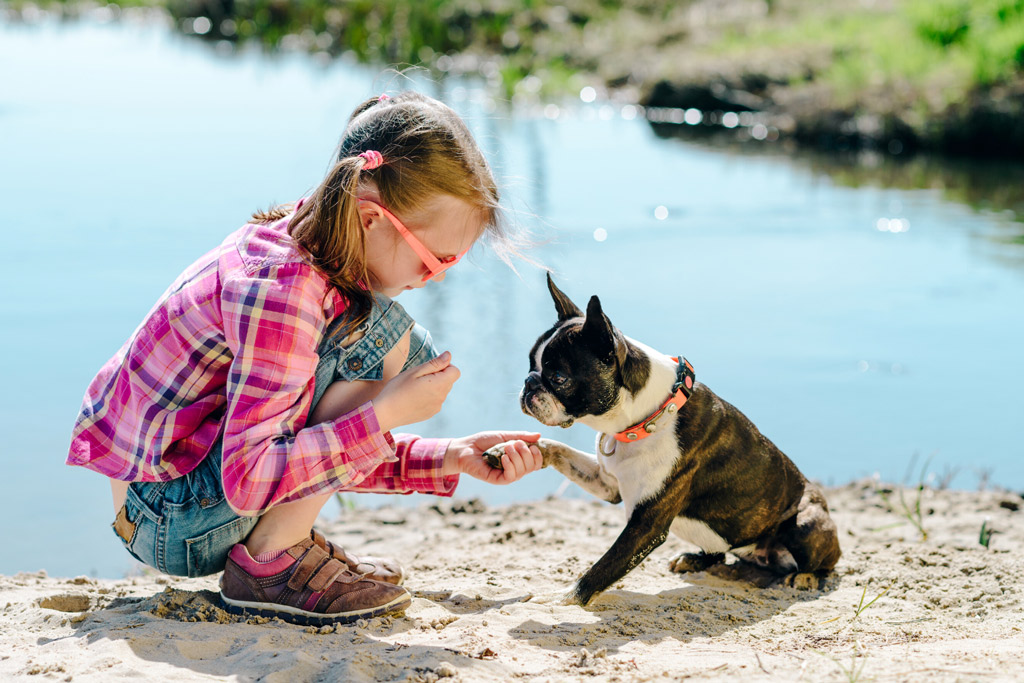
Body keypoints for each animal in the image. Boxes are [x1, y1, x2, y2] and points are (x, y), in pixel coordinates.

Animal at [499, 274, 835, 606]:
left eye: (559, 379)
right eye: (530, 365)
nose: (529, 384)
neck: (645, 418)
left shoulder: (646, 525)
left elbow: (603, 567)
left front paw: (562, 598)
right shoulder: (607, 483)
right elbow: (559, 449)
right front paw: (512, 450)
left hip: (805, 524)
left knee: (824, 562)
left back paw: (806, 577)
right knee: (719, 554)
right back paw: (696, 559)